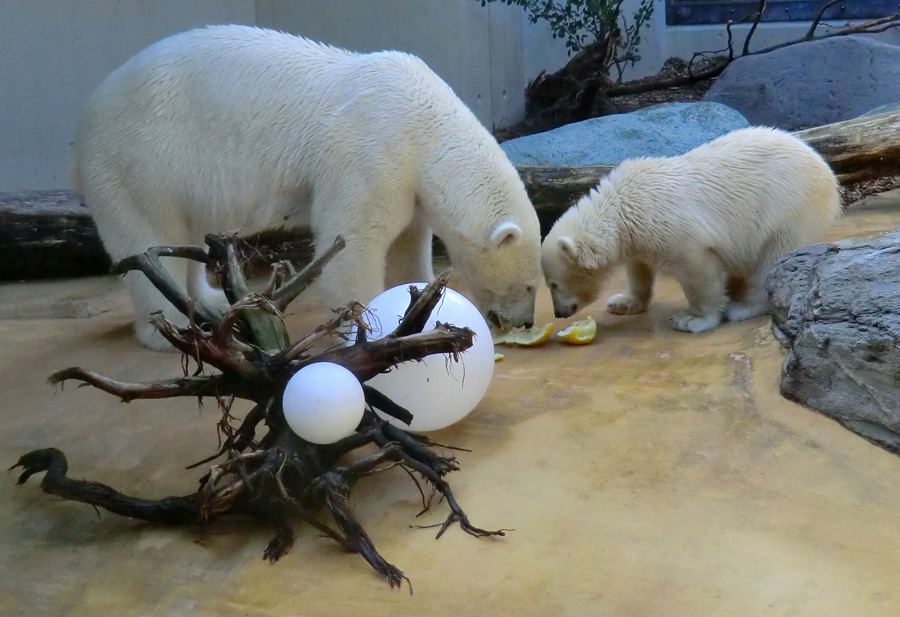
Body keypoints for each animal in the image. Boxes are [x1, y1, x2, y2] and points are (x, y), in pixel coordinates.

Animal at [74, 24, 536, 348]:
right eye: (530, 285)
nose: (527, 321)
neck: (425, 124)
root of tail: (86, 121)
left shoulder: (408, 182)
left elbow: (407, 245)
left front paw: (417, 301)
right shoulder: (370, 155)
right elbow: (351, 241)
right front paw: (365, 328)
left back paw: (212, 301)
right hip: (142, 162)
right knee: (149, 239)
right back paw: (170, 331)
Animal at [540, 125, 844, 334]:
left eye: (553, 283)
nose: (560, 313)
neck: (621, 205)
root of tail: (827, 170)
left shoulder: (673, 228)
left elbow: (696, 269)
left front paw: (693, 319)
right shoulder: (638, 235)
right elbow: (638, 269)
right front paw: (622, 302)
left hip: (788, 208)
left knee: (773, 257)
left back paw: (743, 306)